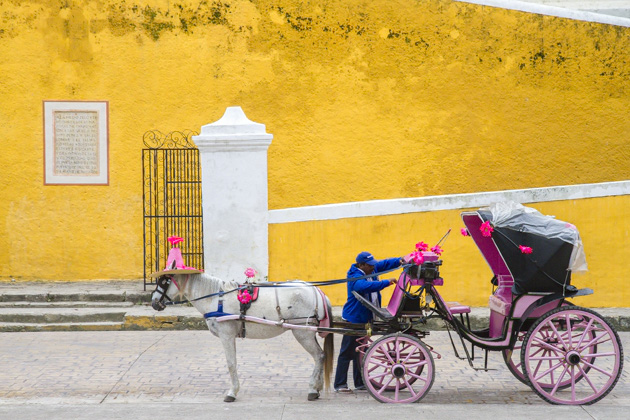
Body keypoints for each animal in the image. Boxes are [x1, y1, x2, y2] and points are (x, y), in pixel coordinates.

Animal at [152, 274, 336, 402]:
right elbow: (233, 363)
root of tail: (316, 290)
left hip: (302, 331)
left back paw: (312, 389)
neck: (215, 299)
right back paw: (317, 388)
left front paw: (232, 393)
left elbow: (231, 364)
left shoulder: (226, 335)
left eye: (164, 282)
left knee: (319, 356)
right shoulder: (230, 336)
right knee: (321, 356)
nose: (154, 302)